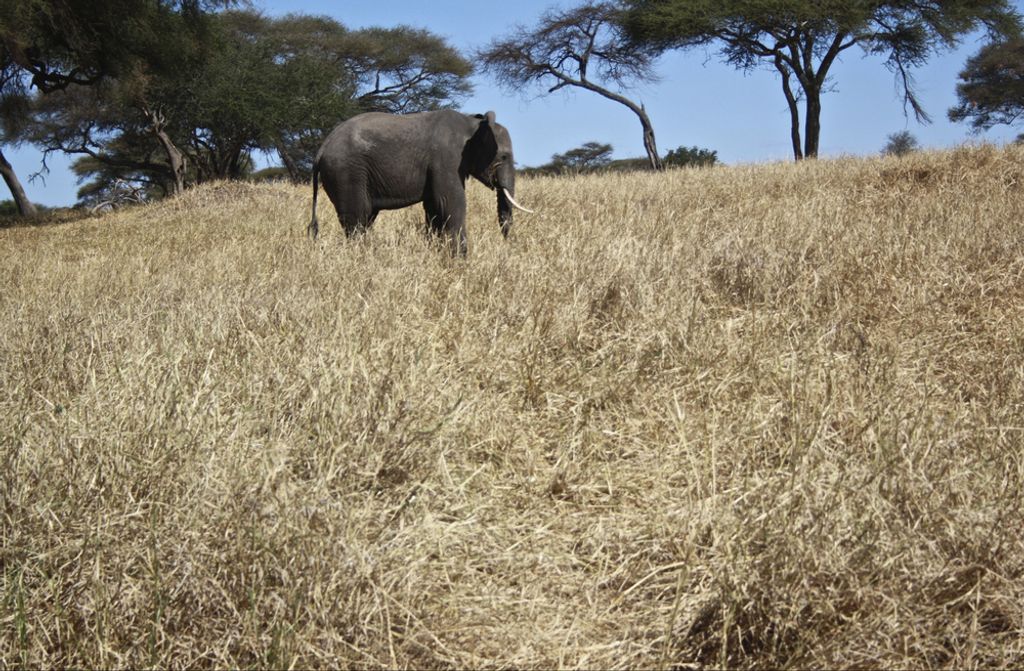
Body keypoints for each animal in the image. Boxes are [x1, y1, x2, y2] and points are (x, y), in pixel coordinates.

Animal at [308, 109, 532, 256]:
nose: (506, 242)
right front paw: (460, 259)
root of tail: (321, 150)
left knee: (364, 218)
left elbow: (434, 206)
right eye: (503, 156)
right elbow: (451, 202)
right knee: (357, 217)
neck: (473, 124)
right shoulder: (447, 158)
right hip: (346, 171)